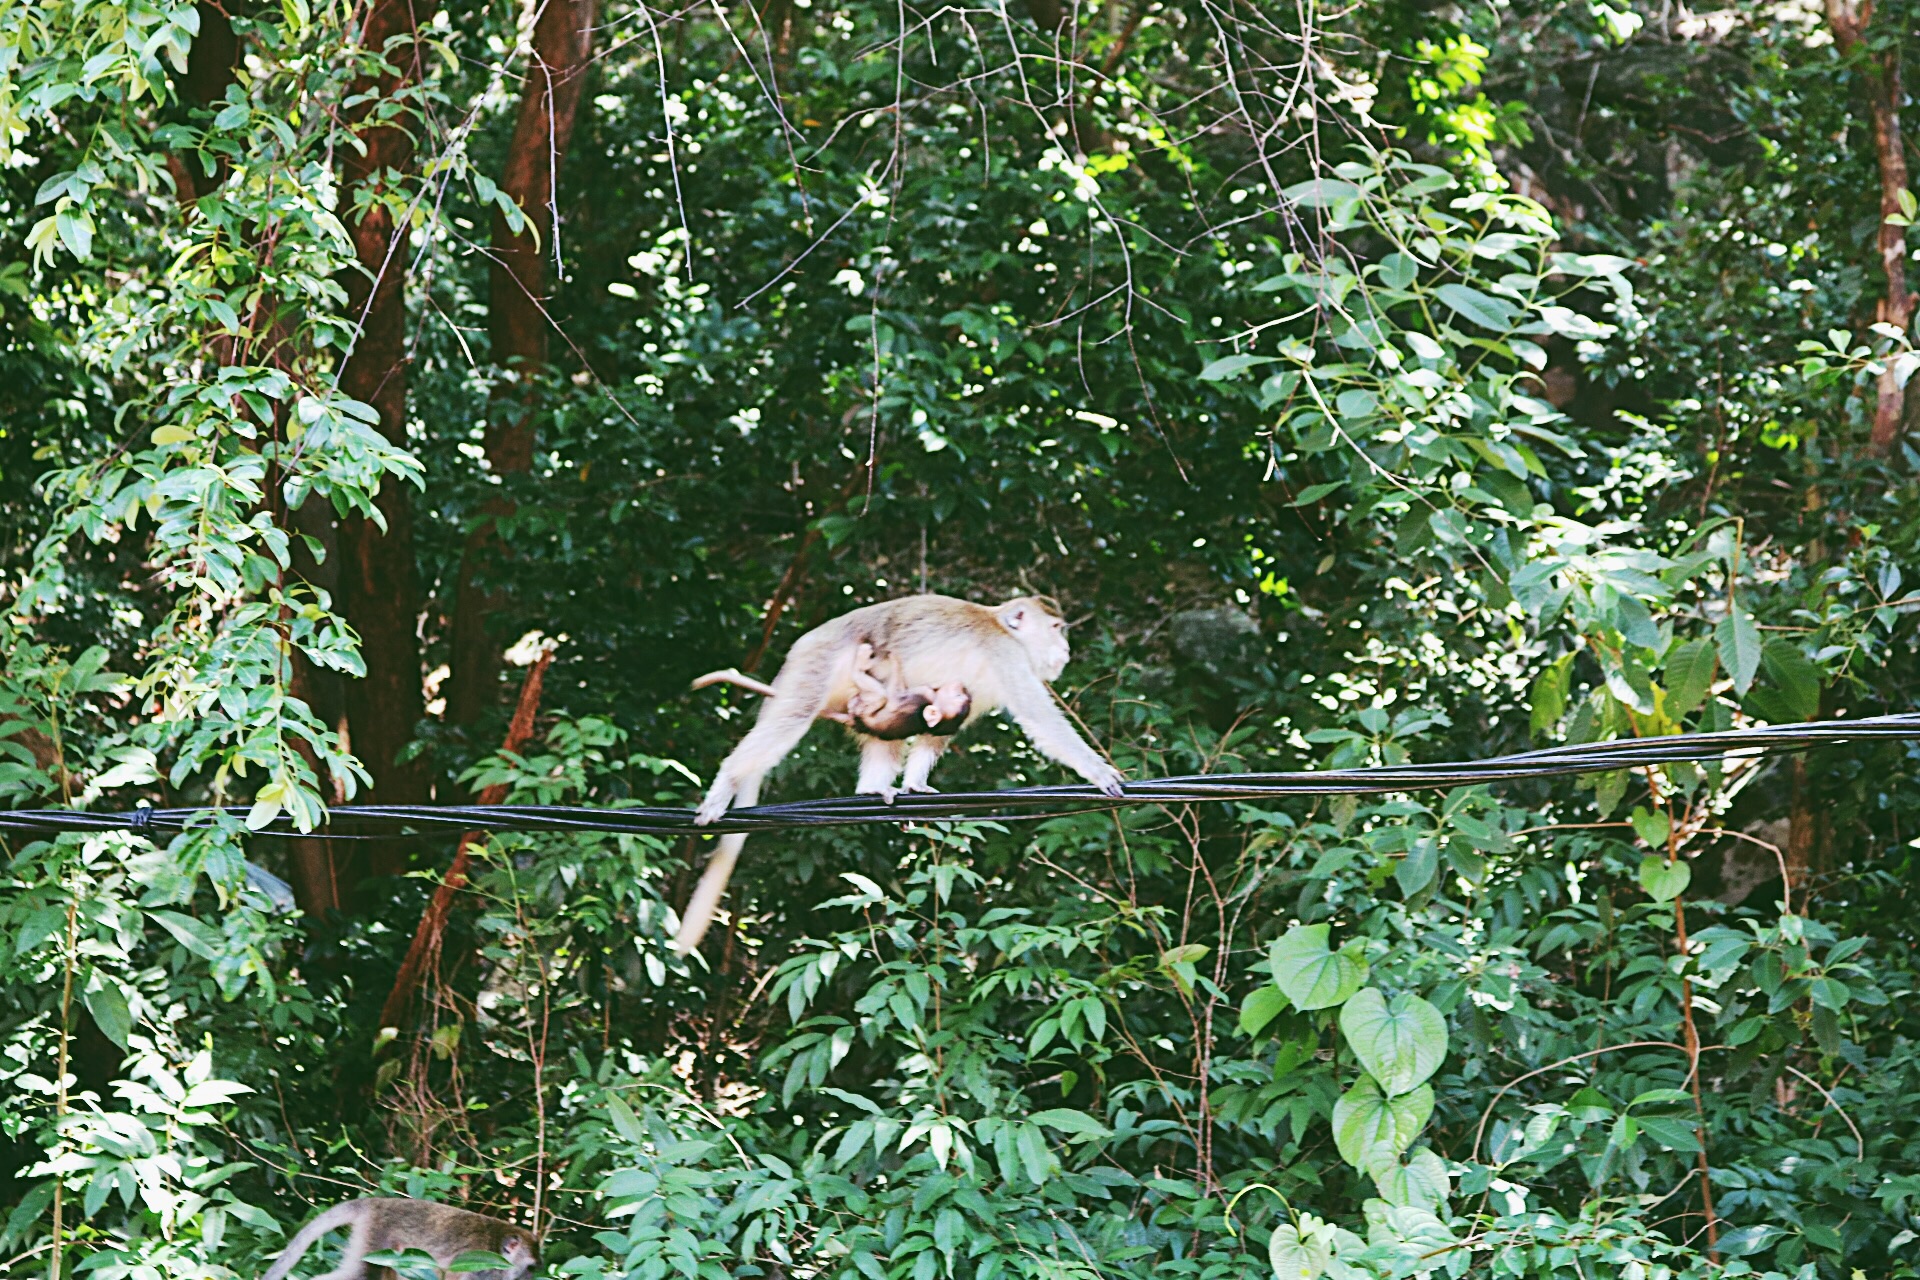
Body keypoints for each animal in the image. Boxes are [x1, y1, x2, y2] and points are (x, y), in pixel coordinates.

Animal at [259, 1197, 537, 1280]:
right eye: (531, 1268)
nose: (530, 1279)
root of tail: (376, 1202)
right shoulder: (485, 1269)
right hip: (376, 1236)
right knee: (361, 1273)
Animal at [679, 594, 1121, 955]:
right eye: (1055, 628)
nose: (1065, 648)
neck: (1001, 626)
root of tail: (804, 644)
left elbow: (938, 731)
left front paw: (915, 784)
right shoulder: (1005, 655)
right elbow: (1041, 718)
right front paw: (1098, 770)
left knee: (884, 734)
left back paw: (873, 792)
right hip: (818, 666)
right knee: (795, 715)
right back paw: (726, 783)